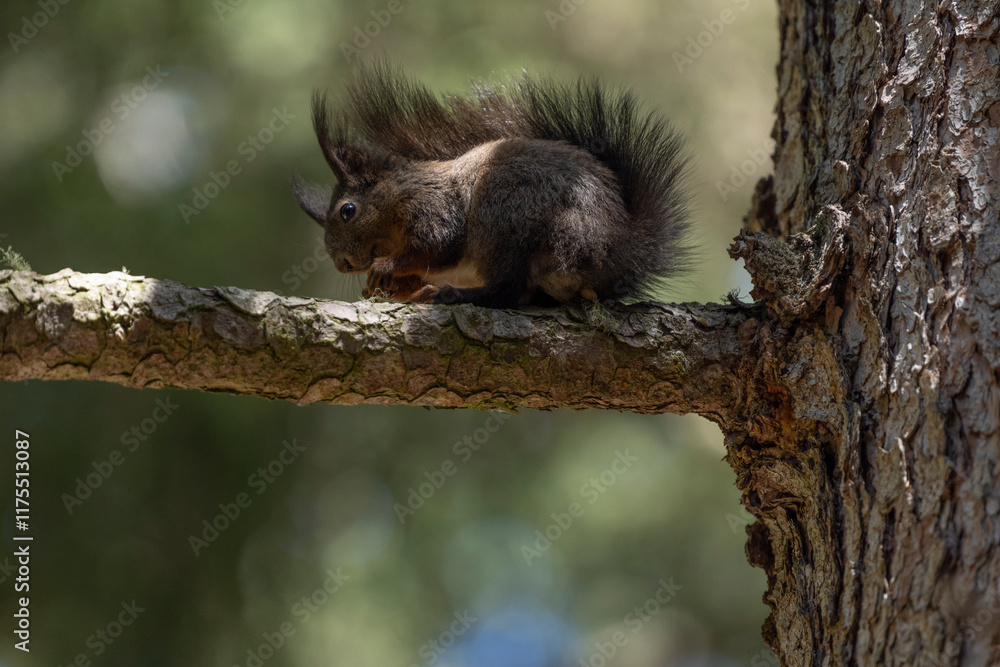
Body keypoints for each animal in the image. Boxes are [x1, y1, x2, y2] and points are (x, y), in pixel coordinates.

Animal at [292, 61, 692, 310]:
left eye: (348, 210)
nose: (342, 263)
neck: (399, 195)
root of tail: (619, 248)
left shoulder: (434, 208)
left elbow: (436, 246)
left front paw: (386, 268)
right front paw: (396, 286)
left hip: (506, 217)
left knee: (508, 291)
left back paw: (454, 295)